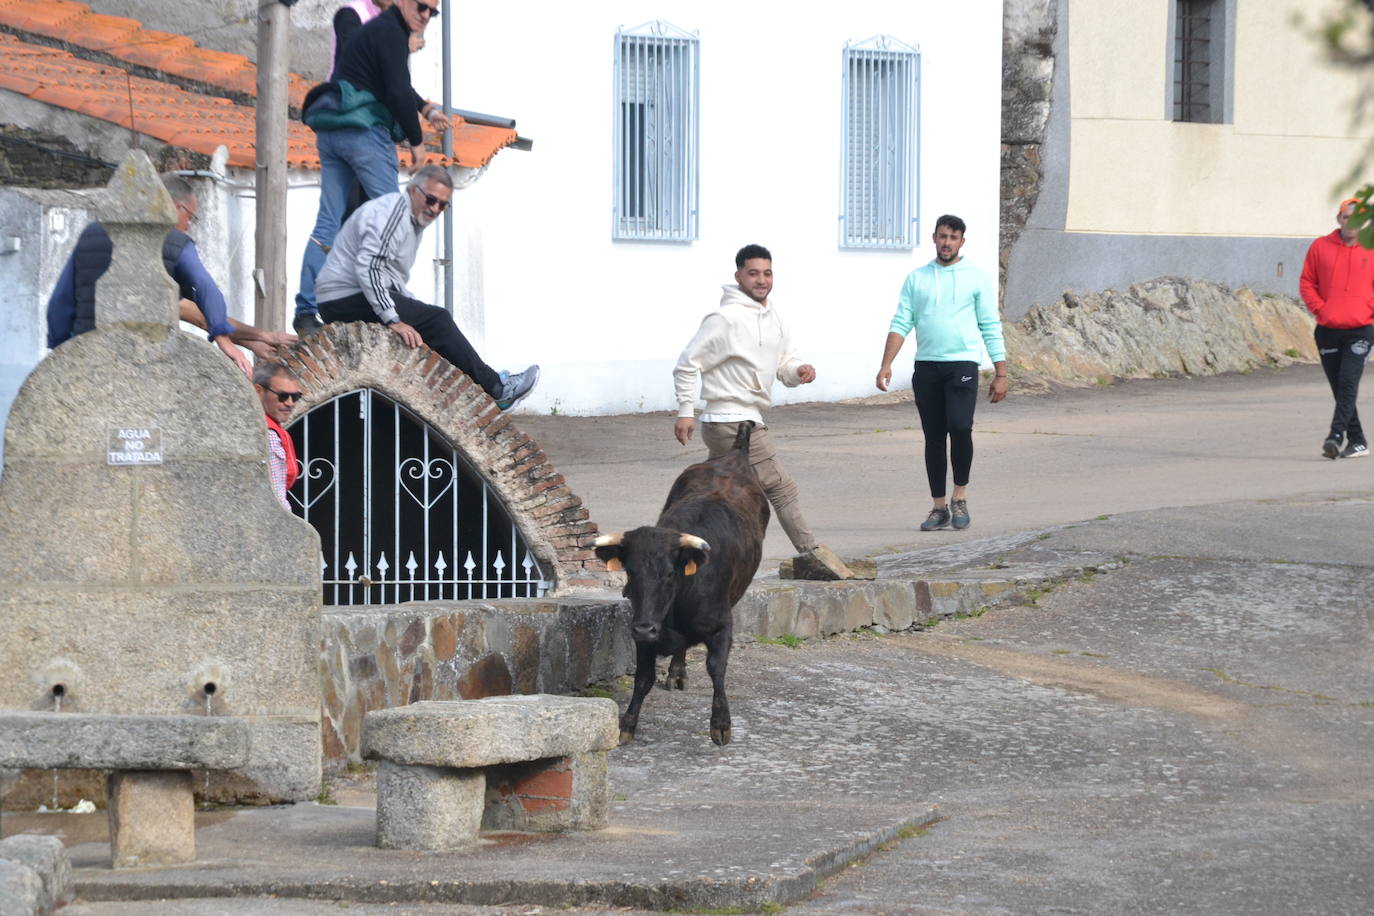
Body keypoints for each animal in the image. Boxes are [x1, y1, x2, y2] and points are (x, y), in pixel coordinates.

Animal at [593, 422, 774, 747]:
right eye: (630, 572)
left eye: (669, 573)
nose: (644, 628)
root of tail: (736, 455)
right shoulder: (646, 631)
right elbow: (643, 678)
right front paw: (628, 724)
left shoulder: (722, 625)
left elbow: (716, 669)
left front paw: (721, 724)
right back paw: (677, 672)